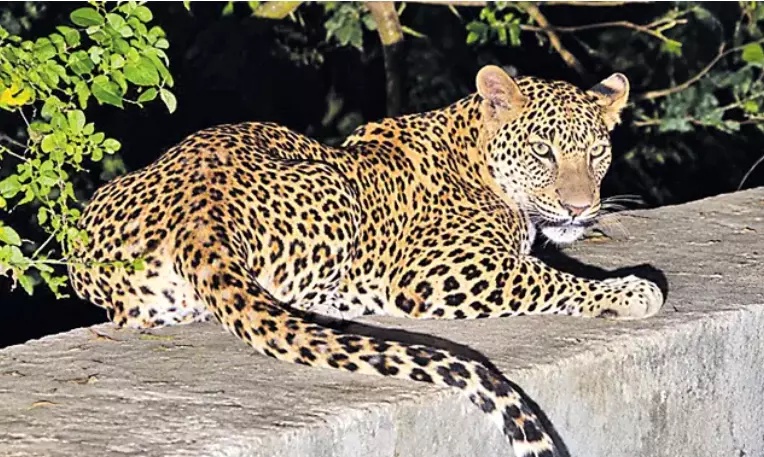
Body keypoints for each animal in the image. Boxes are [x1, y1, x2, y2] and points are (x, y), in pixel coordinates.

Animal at [68, 65, 665, 457]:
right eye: (543, 150)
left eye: (597, 152)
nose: (580, 207)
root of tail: (198, 205)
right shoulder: (440, 271)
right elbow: (544, 277)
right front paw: (630, 290)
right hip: (331, 185)